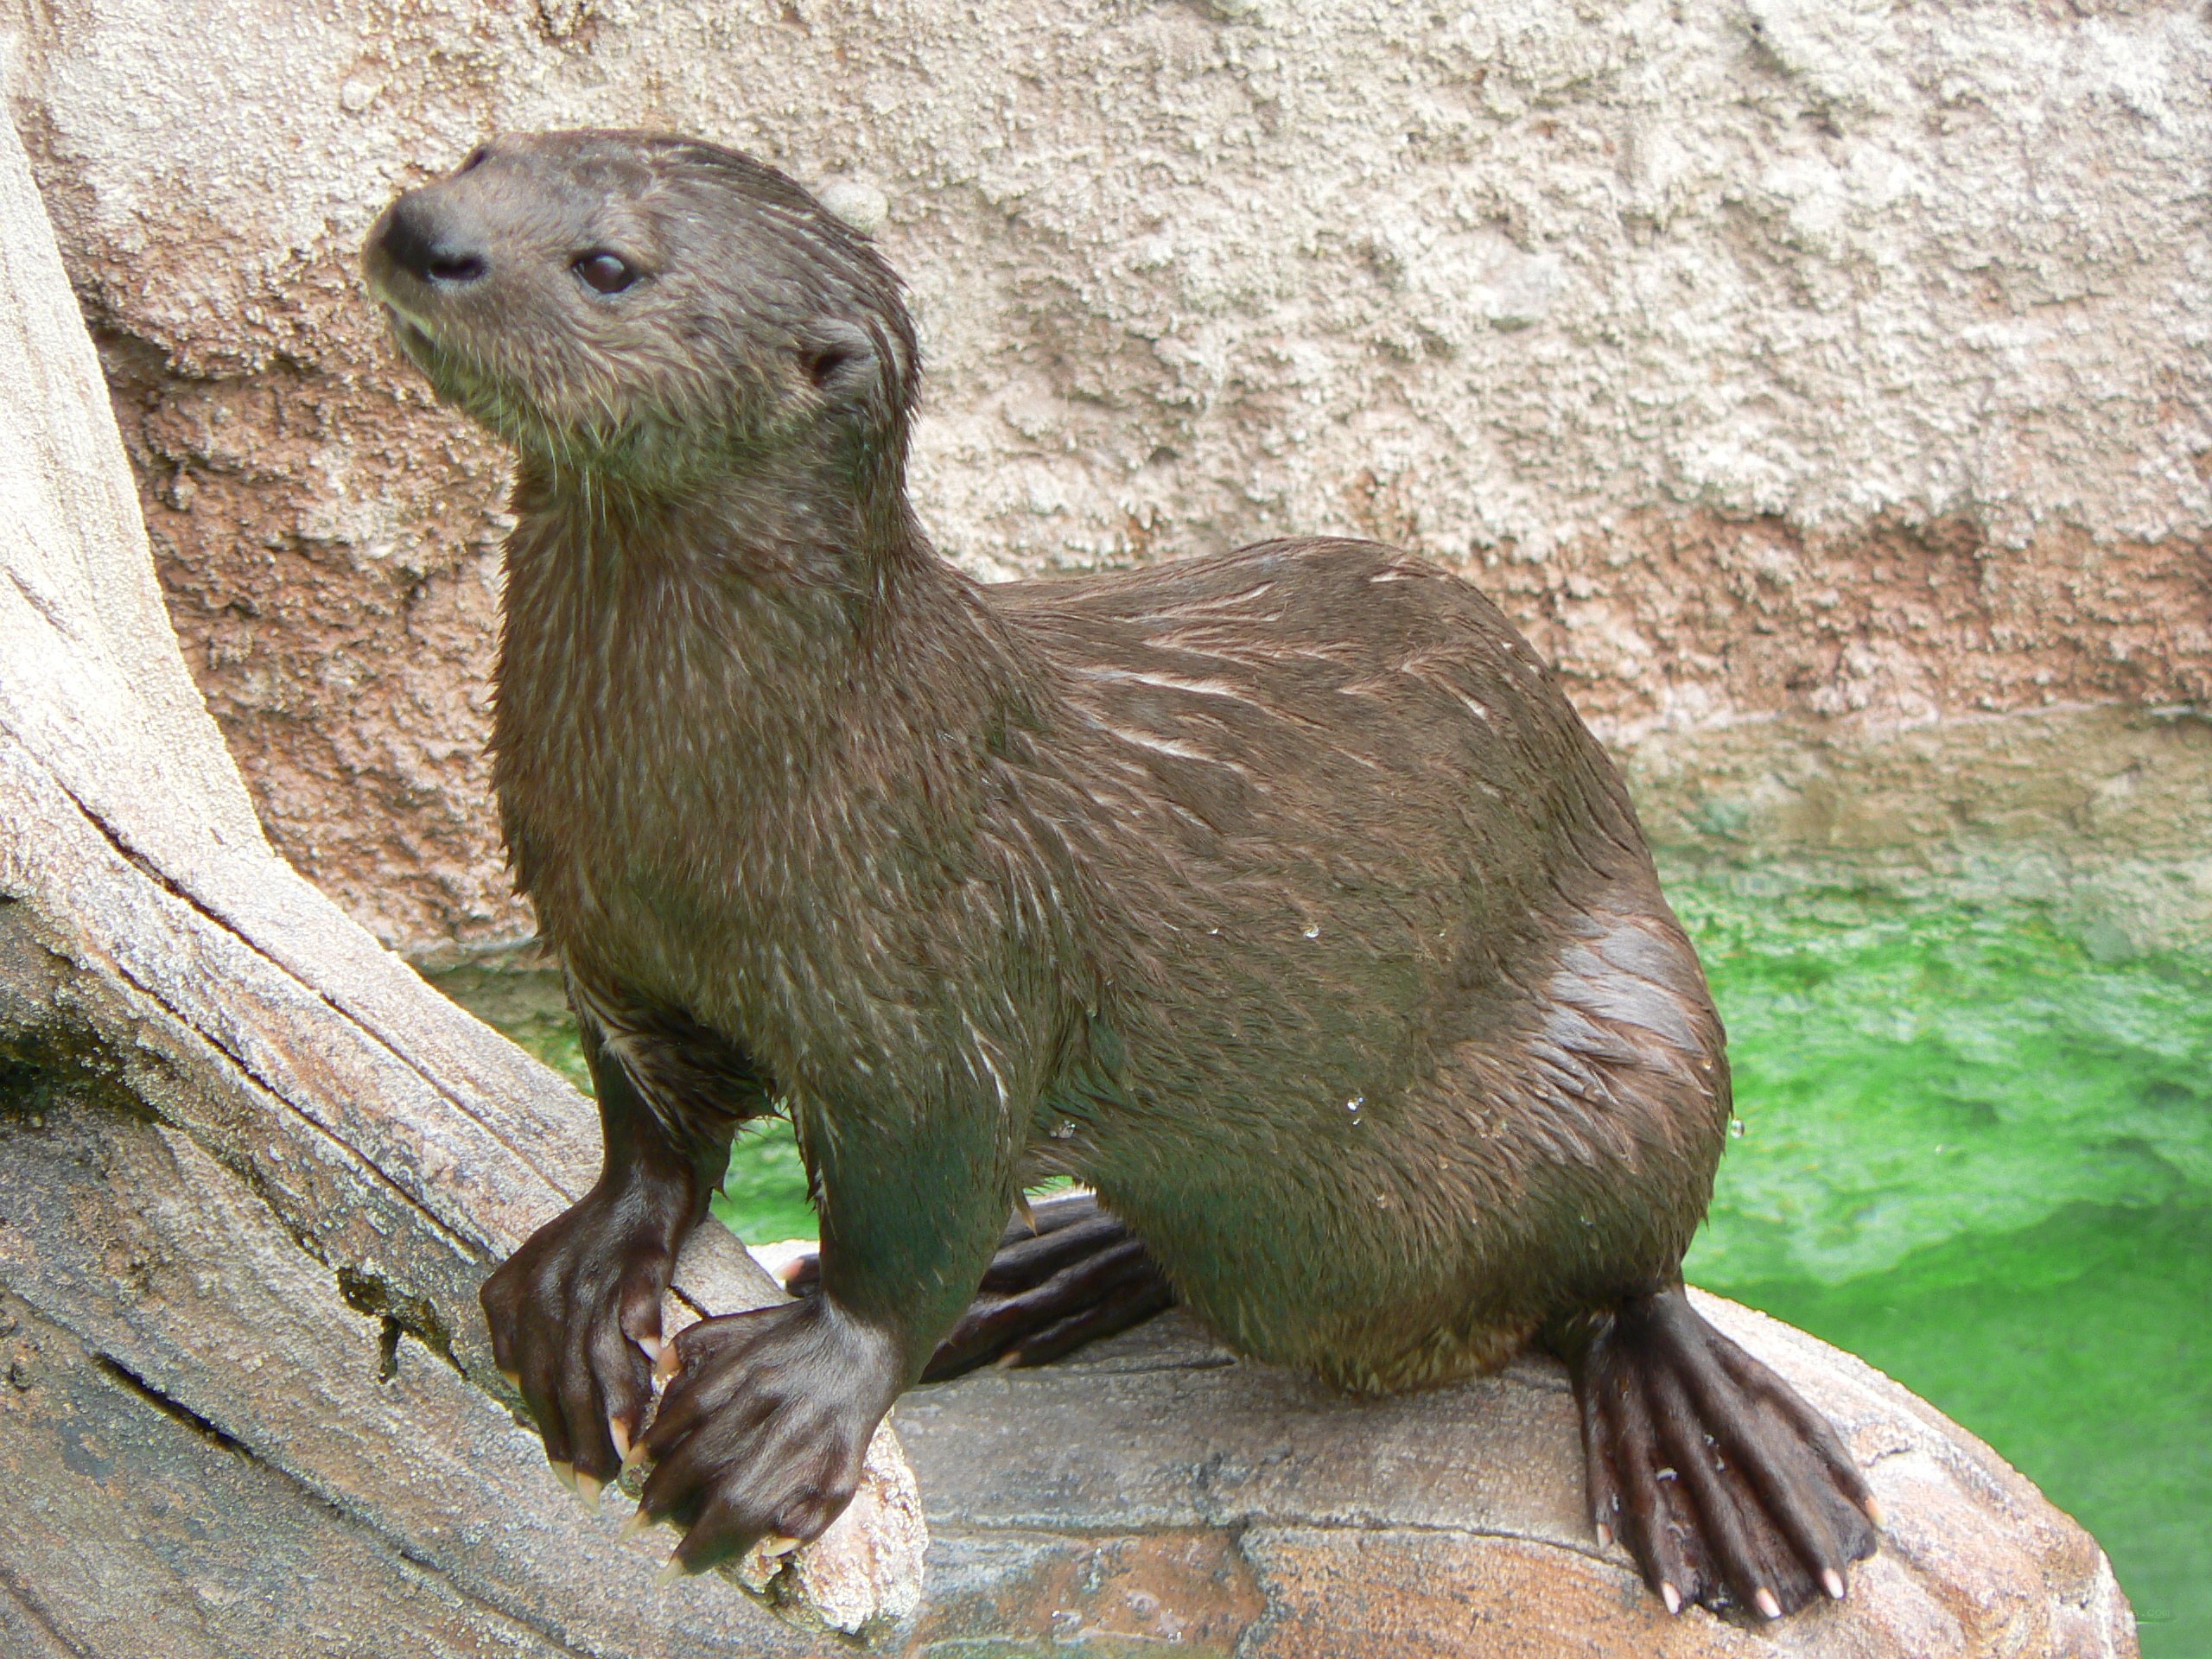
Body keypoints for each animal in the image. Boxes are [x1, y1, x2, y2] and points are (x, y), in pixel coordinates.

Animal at [364, 130, 1878, 1622]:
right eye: (480, 150)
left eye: (608, 266)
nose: (422, 231)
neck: (740, 785)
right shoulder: (606, 941)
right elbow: (649, 1133)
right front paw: (587, 1275)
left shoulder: (949, 988)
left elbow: (913, 1230)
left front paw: (790, 1410)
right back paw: (1062, 1266)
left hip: (1631, 1031)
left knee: (1639, 1273)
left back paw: (1708, 1452)